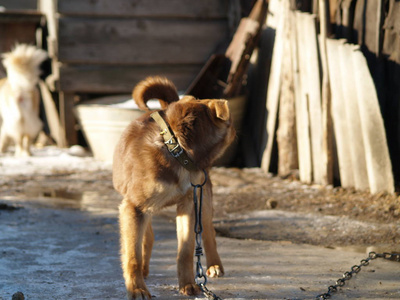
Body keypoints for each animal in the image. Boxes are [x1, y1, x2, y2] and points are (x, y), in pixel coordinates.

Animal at [113, 77, 234, 298]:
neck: (175, 148)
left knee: (209, 232)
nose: (237, 132)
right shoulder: (133, 207)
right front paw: (137, 288)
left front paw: (188, 284)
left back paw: (214, 265)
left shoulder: (189, 204)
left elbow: (185, 251)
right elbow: (133, 255)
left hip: (204, 199)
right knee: (147, 237)